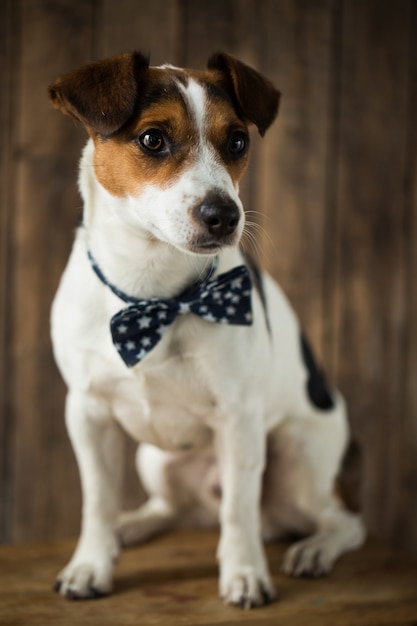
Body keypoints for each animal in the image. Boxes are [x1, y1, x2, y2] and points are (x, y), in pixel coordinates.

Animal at [47, 51, 362, 608]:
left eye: (237, 141)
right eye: (153, 139)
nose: (224, 215)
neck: (154, 293)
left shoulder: (238, 420)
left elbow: (238, 510)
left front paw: (244, 573)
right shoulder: (87, 412)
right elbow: (98, 500)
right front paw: (91, 563)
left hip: (296, 461)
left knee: (341, 521)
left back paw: (315, 550)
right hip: (156, 459)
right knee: (172, 509)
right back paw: (131, 526)